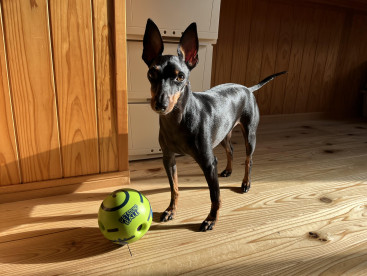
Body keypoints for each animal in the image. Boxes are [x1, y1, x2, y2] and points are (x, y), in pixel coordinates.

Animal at [142, 18, 286, 231]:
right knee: (231, 149)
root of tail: (247, 88)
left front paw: (211, 219)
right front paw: (170, 210)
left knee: (248, 159)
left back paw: (245, 183)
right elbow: (174, 188)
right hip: (223, 133)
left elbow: (215, 194)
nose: (160, 104)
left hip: (250, 134)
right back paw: (228, 170)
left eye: (180, 77)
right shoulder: (168, 159)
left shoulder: (208, 163)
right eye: (152, 73)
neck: (178, 120)